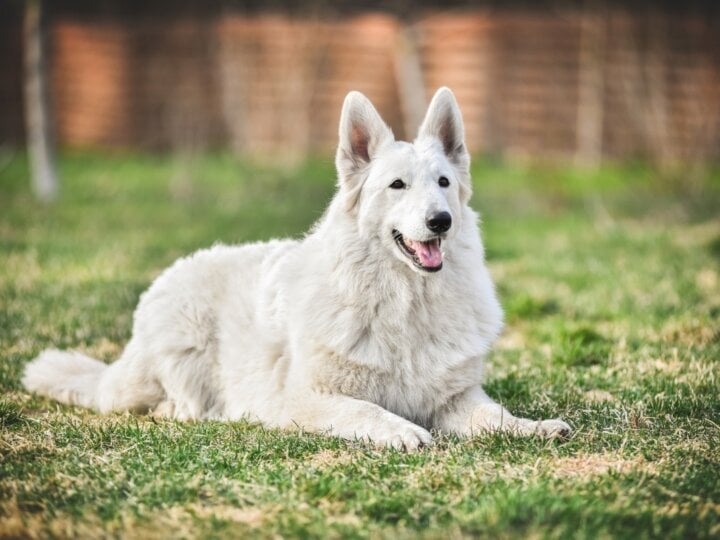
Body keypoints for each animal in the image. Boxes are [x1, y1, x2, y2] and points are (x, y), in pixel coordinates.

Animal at [22, 89, 572, 452]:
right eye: (397, 185)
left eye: (443, 183)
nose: (442, 220)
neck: (404, 305)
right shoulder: (305, 399)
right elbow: (364, 407)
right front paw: (401, 430)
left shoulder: (457, 398)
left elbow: (494, 414)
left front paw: (533, 427)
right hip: (179, 349)